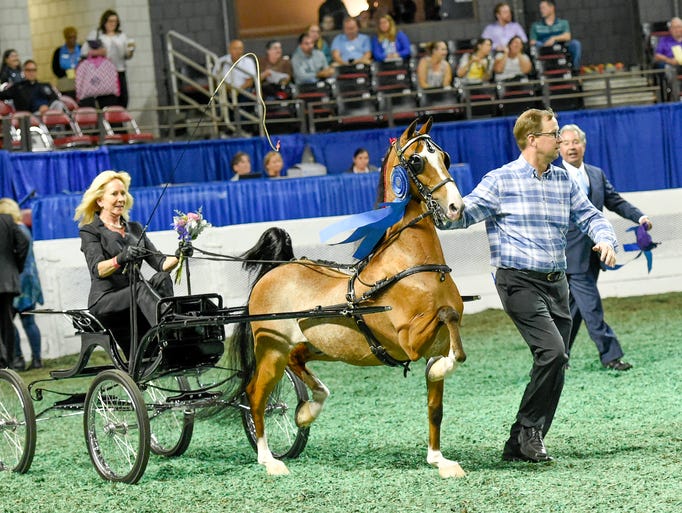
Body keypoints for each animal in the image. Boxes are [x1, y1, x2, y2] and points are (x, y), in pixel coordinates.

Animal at [234, 119, 468, 476]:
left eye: (446, 157)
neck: (412, 266)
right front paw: (441, 369)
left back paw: (307, 411)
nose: (457, 207)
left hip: (316, 345)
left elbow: (435, 409)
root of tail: (274, 271)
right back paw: (269, 459)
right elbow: (448, 320)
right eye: (417, 161)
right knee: (256, 395)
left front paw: (439, 460)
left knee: (297, 364)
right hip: (272, 349)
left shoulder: (436, 346)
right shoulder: (411, 342)